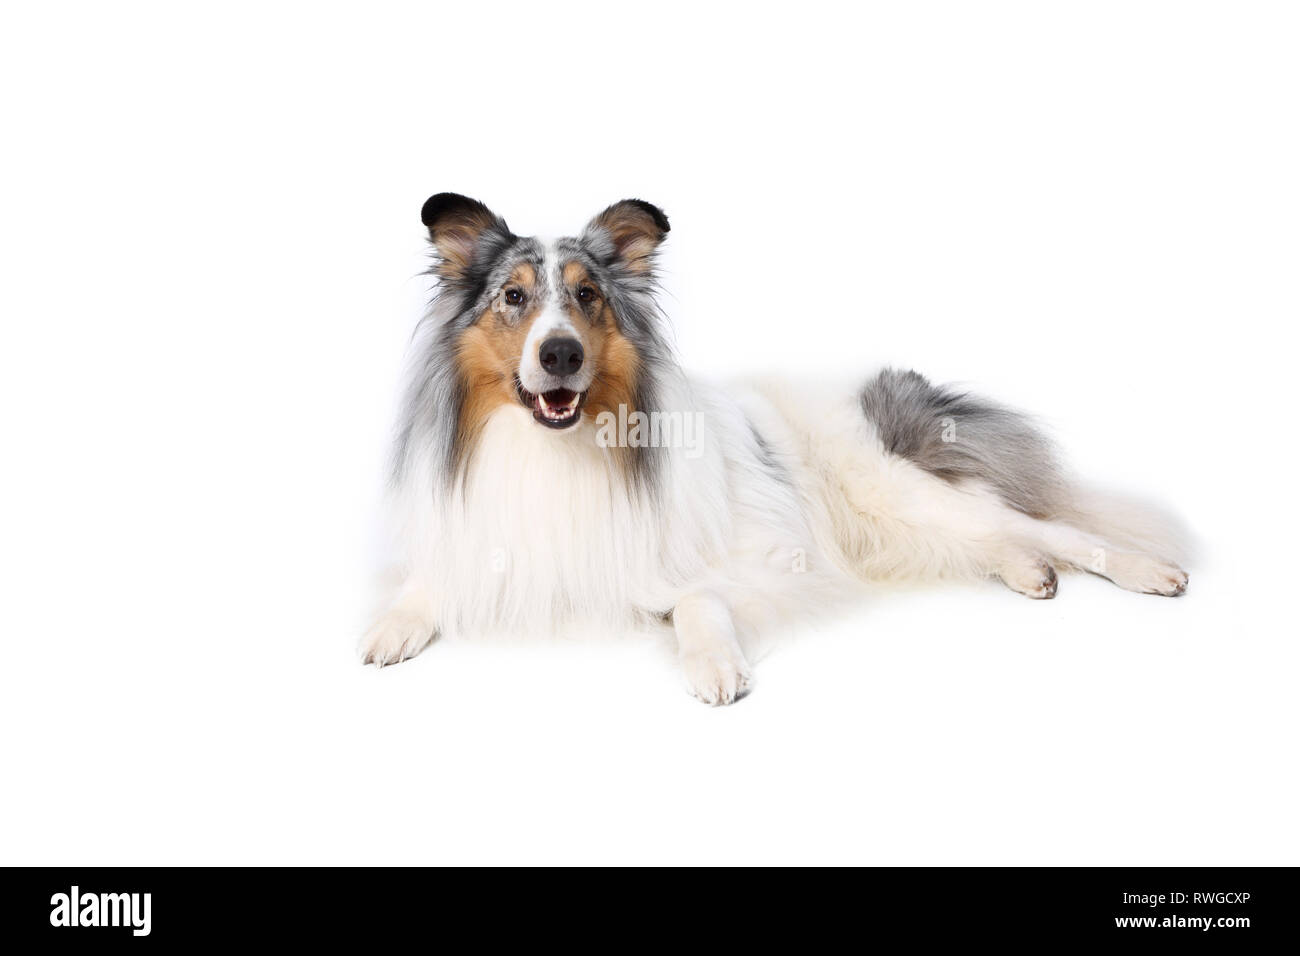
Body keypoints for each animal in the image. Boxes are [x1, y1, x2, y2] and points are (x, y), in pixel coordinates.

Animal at [364, 195, 1190, 702]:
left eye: (587, 296)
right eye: (514, 296)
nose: (560, 354)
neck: (554, 449)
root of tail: (882, 388)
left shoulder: (744, 557)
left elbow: (697, 598)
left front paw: (714, 663)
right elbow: (428, 581)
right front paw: (389, 627)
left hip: (897, 489)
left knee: (1050, 527)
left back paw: (1146, 569)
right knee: (992, 537)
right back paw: (1028, 572)